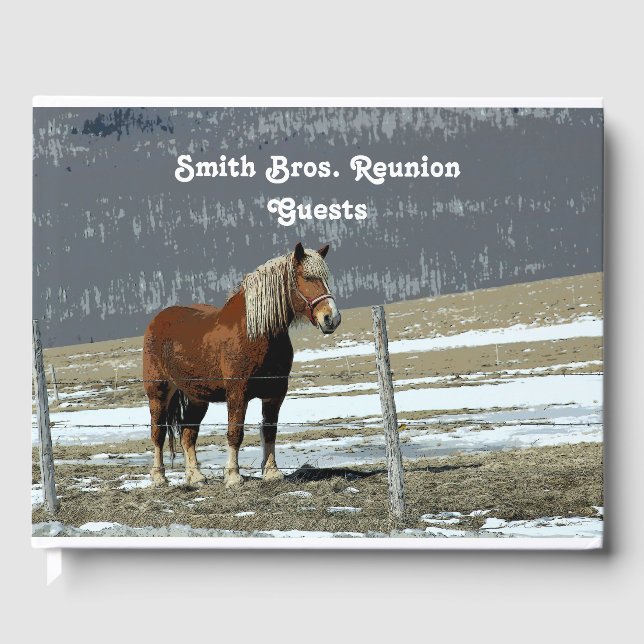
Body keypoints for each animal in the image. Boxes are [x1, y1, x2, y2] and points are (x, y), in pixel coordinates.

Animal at [142, 242, 341, 488]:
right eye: (306, 277)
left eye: (325, 278)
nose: (331, 318)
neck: (255, 334)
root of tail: (157, 320)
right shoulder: (237, 393)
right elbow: (235, 432)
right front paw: (233, 476)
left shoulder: (275, 393)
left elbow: (270, 430)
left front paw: (272, 472)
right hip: (158, 392)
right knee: (158, 432)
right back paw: (159, 477)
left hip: (197, 397)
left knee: (189, 432)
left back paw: (196, 477)